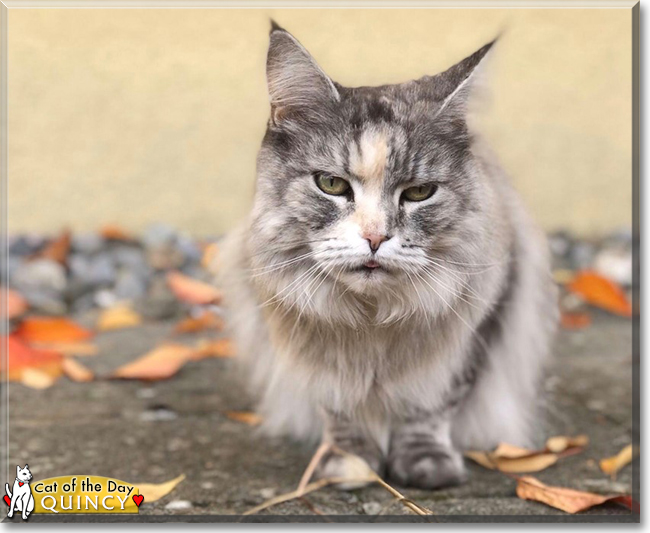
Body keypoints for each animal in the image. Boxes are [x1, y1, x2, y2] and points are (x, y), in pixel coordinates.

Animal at [219, 23, 556, 490]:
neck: (373, 317)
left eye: (419, 192)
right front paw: (351, 466)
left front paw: (426, 465)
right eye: (331, 184)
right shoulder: (319, 352)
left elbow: (429, 410)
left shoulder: (474, 331)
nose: (376, 237)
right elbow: (342, 414)